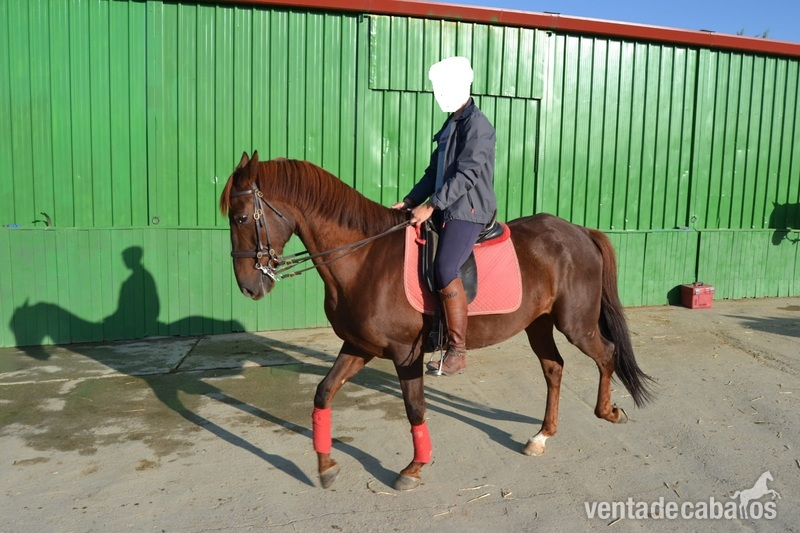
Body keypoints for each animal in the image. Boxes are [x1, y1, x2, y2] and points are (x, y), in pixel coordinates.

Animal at [219, 151, 654, 491]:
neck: (364, 259)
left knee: (606, 354)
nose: (248, 287)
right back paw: (541, 436)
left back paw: (606, 411)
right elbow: (323, 393)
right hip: (538, 324)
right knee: (554, 368)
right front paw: (326, 466)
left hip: (575, 323)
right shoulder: (358, 346)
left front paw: (414, 468)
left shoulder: (404, 352)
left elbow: (415, 408)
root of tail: (578, 230)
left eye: (240, 218)